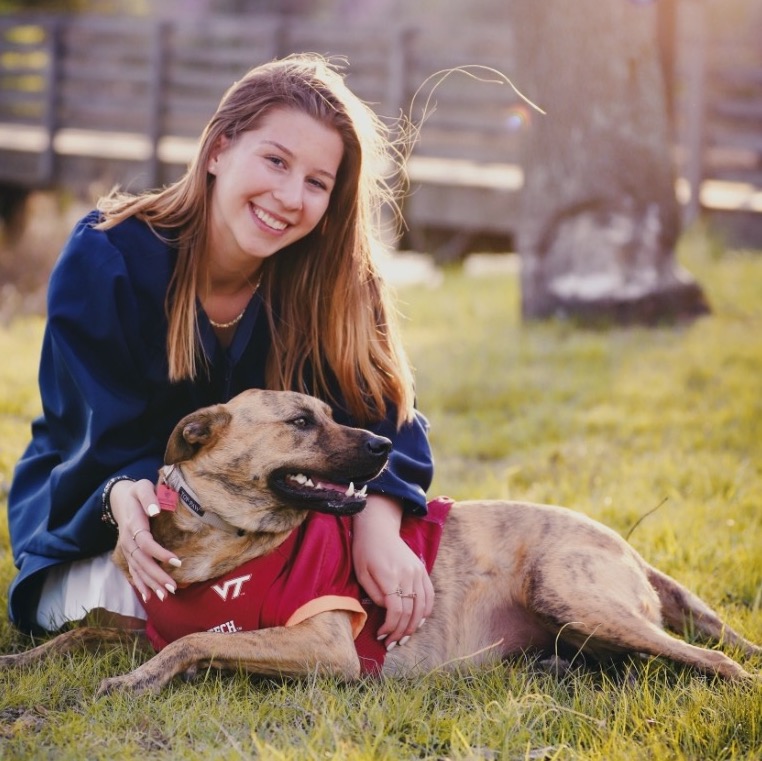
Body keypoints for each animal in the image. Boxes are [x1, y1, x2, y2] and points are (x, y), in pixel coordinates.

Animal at [0, 388, 756, 692]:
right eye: (301, 421)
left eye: (328, 413)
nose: (388, 444)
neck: (220, 535)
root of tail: (631, 551)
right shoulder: (148, 622)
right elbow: (92, 627)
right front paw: (20, 661)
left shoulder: (323, 644)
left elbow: (195, 642)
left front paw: (139, 680)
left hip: (573, 593)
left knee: (715, 660)